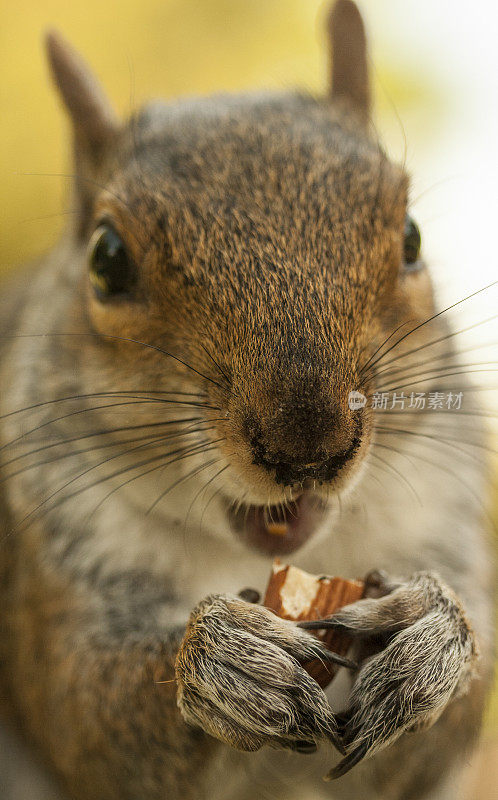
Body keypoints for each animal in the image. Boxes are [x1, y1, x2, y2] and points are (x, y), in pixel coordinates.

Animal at [0, 0, 496, 796]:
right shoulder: (52, 562)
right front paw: (219, 660)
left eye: (413, 238)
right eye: (106, 260)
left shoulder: (441, 516)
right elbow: (86, 711)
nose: (308, 444)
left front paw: (434, 638)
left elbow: (437, 738)